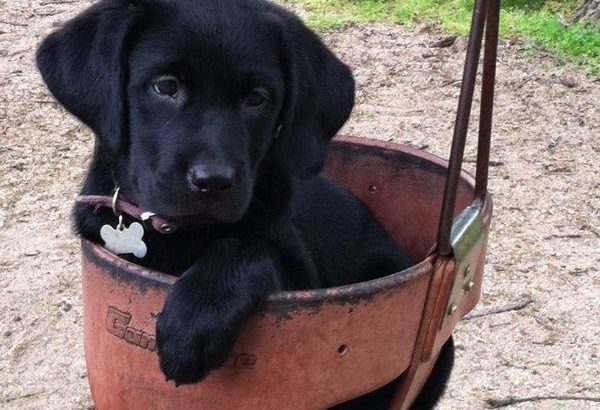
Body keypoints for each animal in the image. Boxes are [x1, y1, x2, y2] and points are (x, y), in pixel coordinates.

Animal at [36, 0, 453, 407]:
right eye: (166, 86)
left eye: (257, 98)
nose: (213, 182)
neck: (181, 231)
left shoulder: (306, 287)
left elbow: (246, 246)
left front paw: (194, 321)